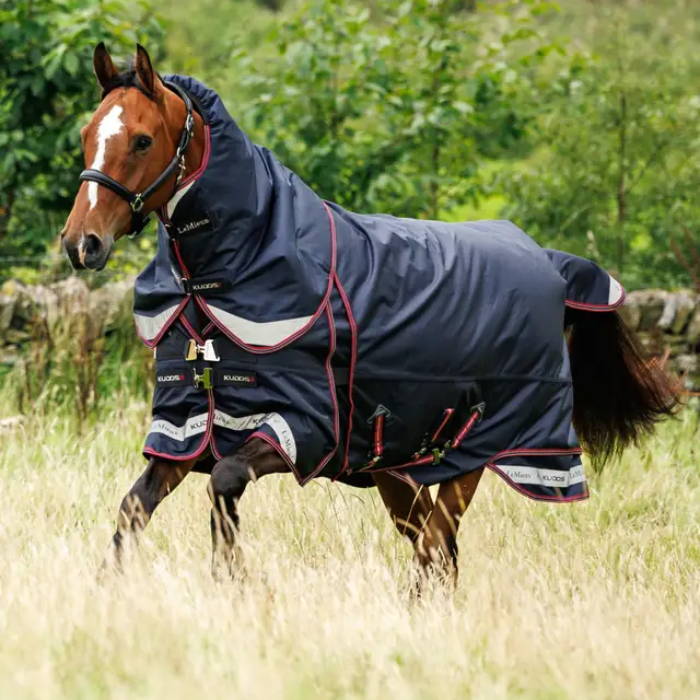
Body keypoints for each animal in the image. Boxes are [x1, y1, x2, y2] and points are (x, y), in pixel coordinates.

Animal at [61, 43, 677, 584]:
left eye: (142, 140)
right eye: (88, 137)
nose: (80, 243)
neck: (222, 277)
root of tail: (550, 263)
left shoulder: (298, 429)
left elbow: (224, 485)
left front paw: (235, 583)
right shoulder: (187, 431)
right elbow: (134, 507)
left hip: (477, 451)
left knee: (435, 549)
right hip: (395, 469)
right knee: (437, 551)